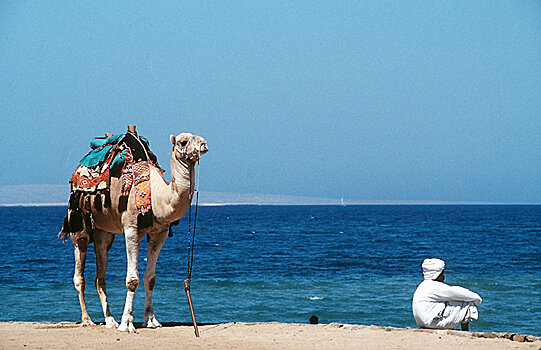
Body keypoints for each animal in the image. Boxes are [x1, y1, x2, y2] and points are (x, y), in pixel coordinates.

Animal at [59, 132, 207, 334]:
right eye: (183, 142)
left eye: (199, 138)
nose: (204, 144)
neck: (158, 198)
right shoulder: (131, 228)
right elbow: (132, 279)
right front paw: (127, 323)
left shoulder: (159, 233)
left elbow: (150, 278)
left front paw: (151, 320)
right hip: (78, 221)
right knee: (79, 273)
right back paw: (87, 319)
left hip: (104, 231)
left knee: (100, 274)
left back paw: (110, 320)